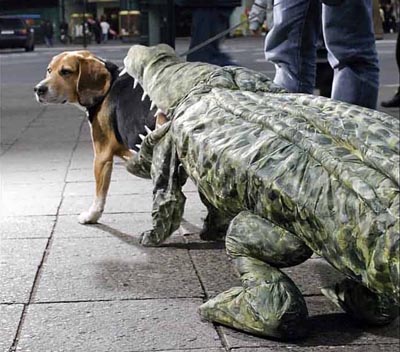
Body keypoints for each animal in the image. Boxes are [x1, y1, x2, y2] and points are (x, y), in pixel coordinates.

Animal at [34, 50, 166, 223]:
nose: (38, 89)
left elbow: (99, 194)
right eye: (49, 70)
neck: (108, 86)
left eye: (66, 72)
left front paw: (92, 215)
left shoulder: (102, 157)